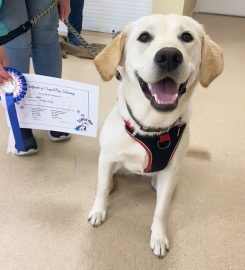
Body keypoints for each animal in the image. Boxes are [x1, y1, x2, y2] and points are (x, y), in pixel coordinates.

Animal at [88, 14, 224, 258]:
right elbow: (101, 189)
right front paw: (99, 210)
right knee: (109, 178)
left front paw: (159, 237)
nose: (169, 55)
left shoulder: (170, 172)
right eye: (144, 37)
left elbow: (161, 210)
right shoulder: (107, 158)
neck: (151, 127)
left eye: (186, 37)